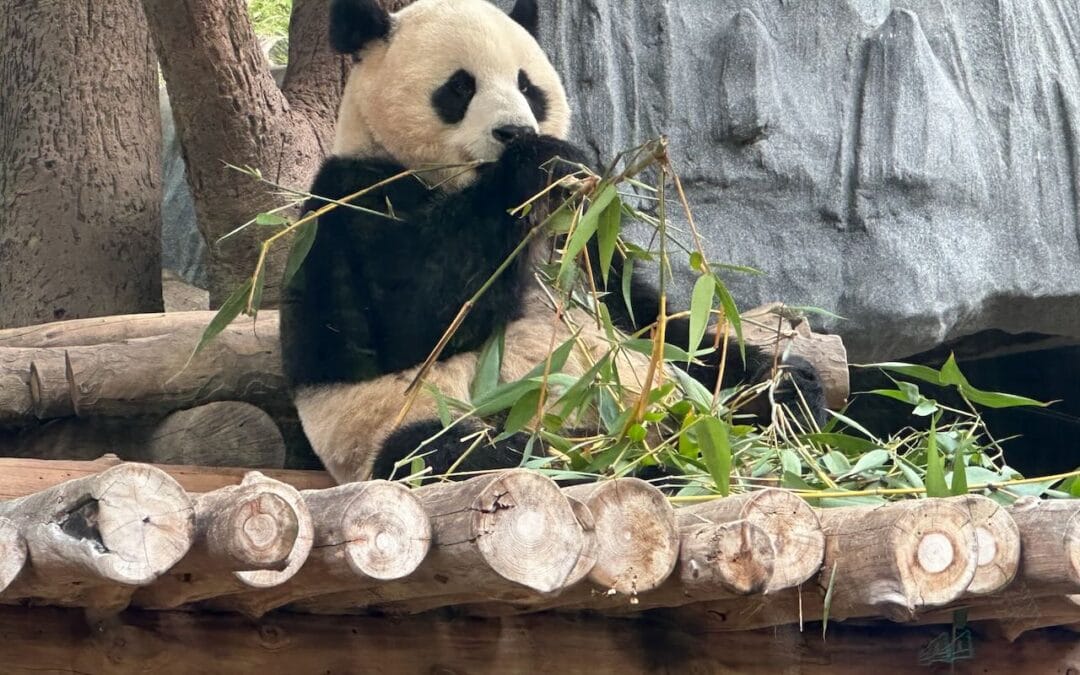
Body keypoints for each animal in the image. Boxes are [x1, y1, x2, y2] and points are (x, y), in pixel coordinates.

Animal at [279, 0, 826, 484]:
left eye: (528, 86)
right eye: (460, 87)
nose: (514, 131)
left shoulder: (582, 235)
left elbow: (645, 314)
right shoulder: (351, 199)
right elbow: (405, 319)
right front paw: (535, 164)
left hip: (676, 393)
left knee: (713, 376)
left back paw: (784, 397)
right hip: (411, 419)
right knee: (465, 454)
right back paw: (644, 468)